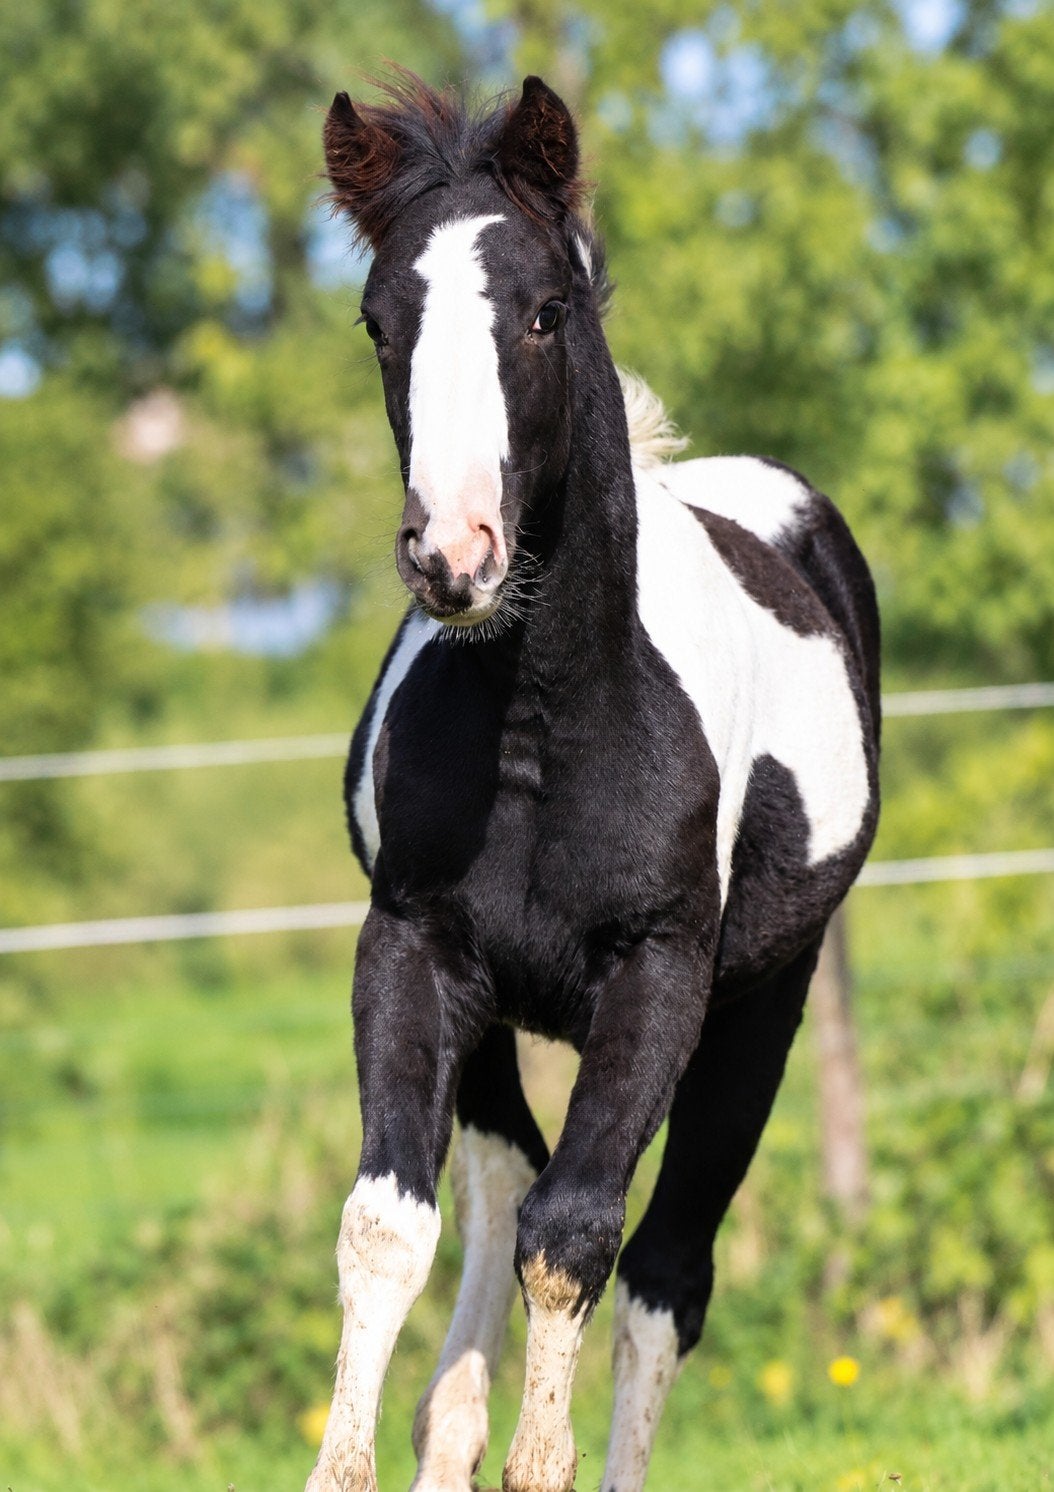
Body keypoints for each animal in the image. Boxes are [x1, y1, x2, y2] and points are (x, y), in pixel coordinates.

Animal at [306, 72, 880, 1492]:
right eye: (379, 320)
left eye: (543, 312)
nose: (452, 554)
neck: (544, 731)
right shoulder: (412, 947)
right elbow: (390, 1224)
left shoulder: (659, 975)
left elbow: (575, 1236)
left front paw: (539, 1453)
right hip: (498, 1015)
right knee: (492, 1191)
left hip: (763, 1007)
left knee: (664, 1275)